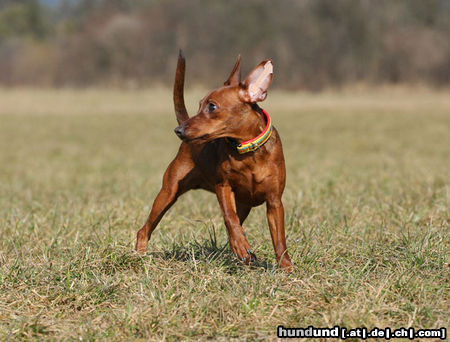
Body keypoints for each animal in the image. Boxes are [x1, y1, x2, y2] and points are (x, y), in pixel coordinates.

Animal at [135, 51, 294, 270]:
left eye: (212, 106)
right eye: (199, 105)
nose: (179, 130)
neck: (248, 151)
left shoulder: (274, 202)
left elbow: (279, 239)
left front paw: (286, 267)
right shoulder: (223, 186)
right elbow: (229, 218)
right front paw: (242, 247)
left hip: (244, 205)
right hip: (168, 192)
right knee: (144, 229)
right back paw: (138, 256)